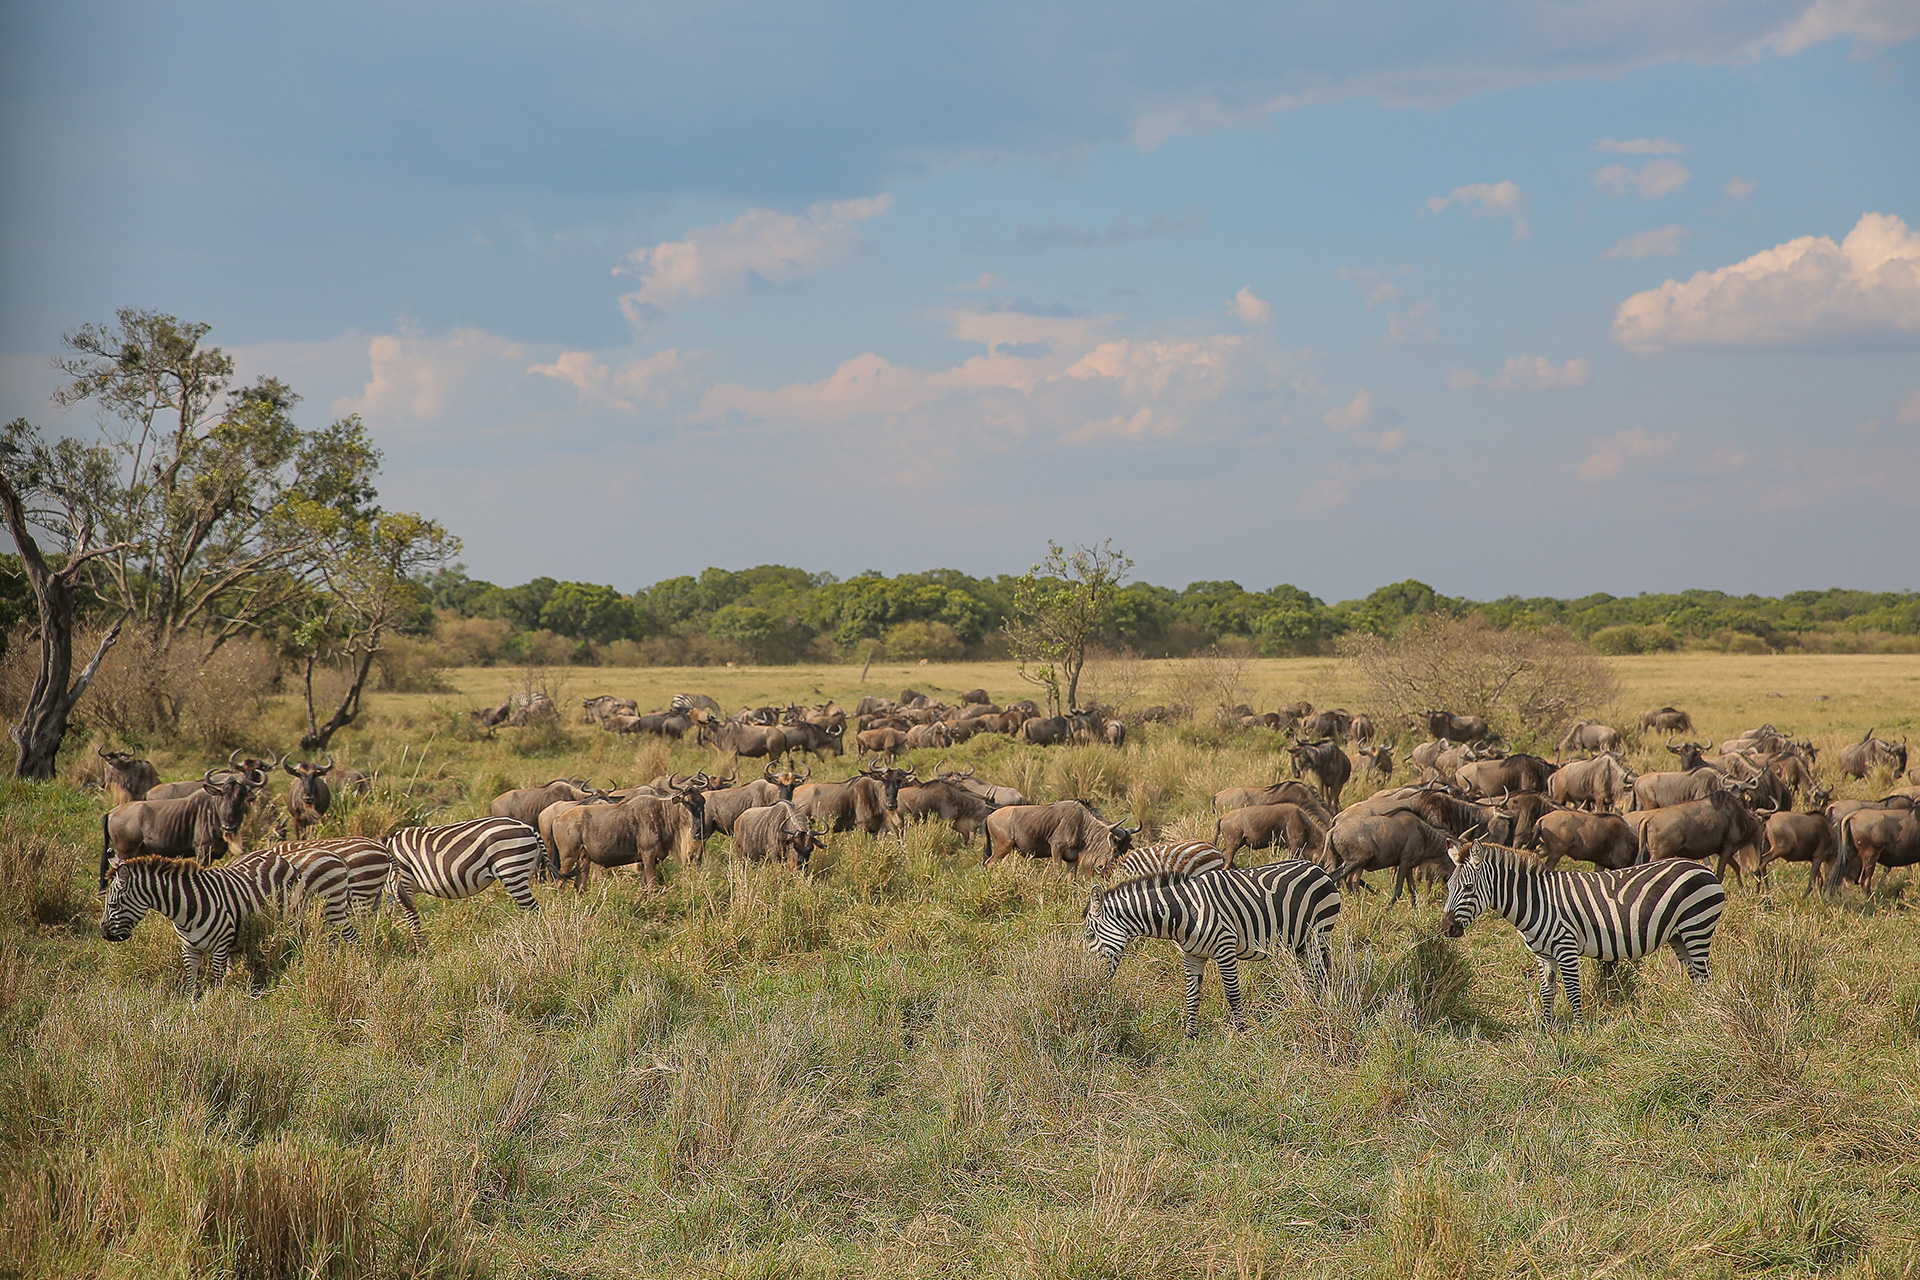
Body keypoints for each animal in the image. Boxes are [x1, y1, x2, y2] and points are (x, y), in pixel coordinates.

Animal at [100, 855, 357, 997]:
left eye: (113, 903)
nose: (103, 933)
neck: (186, 908)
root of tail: (279, 857)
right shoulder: (189, 949)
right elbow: (192, 983)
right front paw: (193, 1010)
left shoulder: (220, 947)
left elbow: (217, 981)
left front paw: (217, 1007)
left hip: (295, 915)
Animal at [382, 821, 545, 951]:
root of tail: (527, 827)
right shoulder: (393, 893)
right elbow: (388, 916)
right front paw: (387, 938)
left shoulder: (403, 885)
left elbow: (413, 920)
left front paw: (421, 952)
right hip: (521, 870)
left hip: (511, 870)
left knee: (532, 909)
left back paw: (531, 938)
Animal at [1090, 859, 1344, 1043]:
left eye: (1090, 935)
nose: (1090, 980)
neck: (1184, 912)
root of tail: (1318, 868)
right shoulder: (1192, 956)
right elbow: (1192, 995)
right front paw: (1191, 1037)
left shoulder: (1225, 948)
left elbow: (1232, 993)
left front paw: (1242, 1032)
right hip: (1300, 944)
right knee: (1308, 978)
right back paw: (1309, 1006)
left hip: (1318, 934)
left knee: (1320, 975)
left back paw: (1320, 1011)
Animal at [1443, 840, 1728, 1028]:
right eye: (1447, 886)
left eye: (1468, 887)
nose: (1446, 928)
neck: (1537, 900)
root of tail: (1703, 869)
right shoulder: (1543, 954)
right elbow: (1547, 991)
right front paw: (1548, 1029)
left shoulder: (1565, 946)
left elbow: (1572, 990)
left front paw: (1580, 1029)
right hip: (1678, 935)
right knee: (1698, 979)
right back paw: (1696, 1014)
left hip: (1697, 927)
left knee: (1704, 977)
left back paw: (1704, 1017)